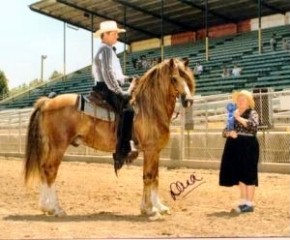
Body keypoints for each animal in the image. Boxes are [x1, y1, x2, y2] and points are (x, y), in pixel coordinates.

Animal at [23, 57, 195, 218]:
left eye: (187, 78)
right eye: (174, 78)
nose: (188, 100)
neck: (150, 109)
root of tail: (48, 102)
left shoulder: (155, 152)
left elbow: (156, 177)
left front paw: (159, 207)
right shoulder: (150, 150)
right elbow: (149, 177)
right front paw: (149, 210)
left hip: (51, 145)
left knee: (44, 169)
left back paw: (46, 207)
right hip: (59, 145)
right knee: (50, 170)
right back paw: (56, 209)